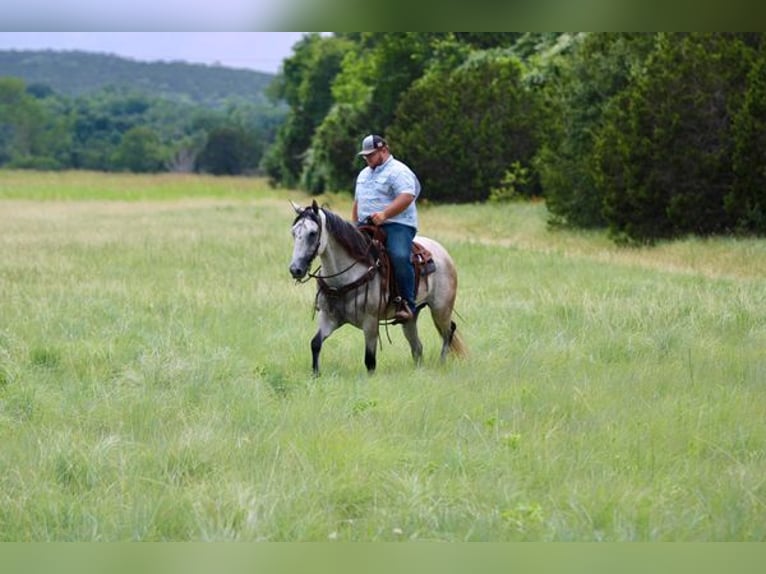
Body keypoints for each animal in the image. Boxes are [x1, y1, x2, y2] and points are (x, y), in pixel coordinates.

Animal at [289, 200, 466, 375]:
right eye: (293, 232)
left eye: (313, 233)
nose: (295, 269)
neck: (345, 278)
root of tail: (443, 253)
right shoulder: (329, 317)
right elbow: (315, 344)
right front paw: (315, 375)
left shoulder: (370, 322)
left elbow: (370, 361)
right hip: (411, 318)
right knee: (418, 347)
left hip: (440, 309)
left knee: (448, 332)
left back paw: (442, 363)